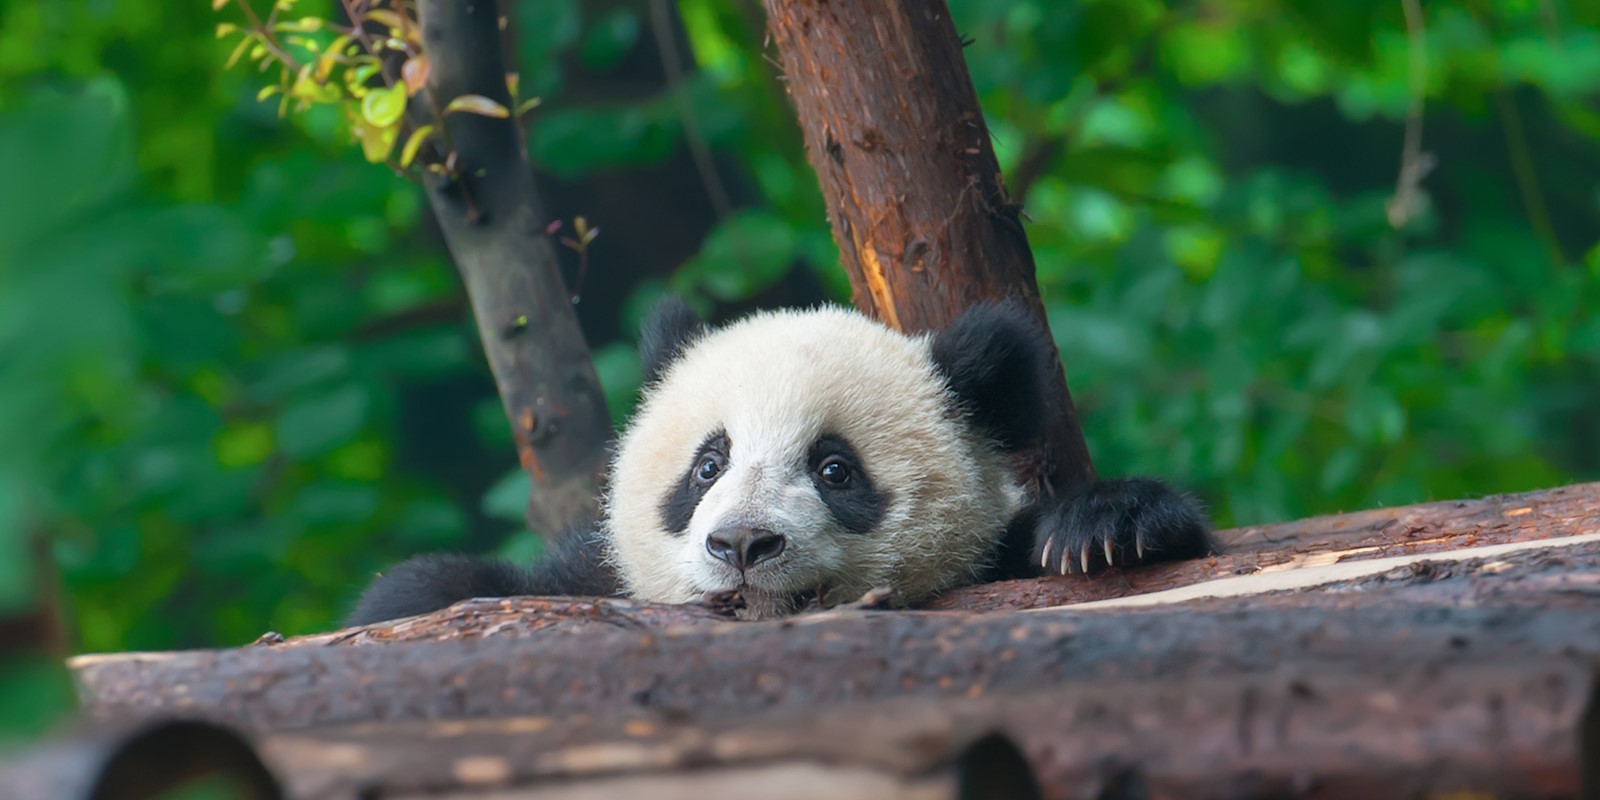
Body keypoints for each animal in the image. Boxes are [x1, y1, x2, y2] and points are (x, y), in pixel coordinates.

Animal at [345, 296, 1215, 626]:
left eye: (835, 470)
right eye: (708, 465)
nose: (742, 545)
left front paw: (1107, 526)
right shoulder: (590, 575)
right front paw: (410, 597)